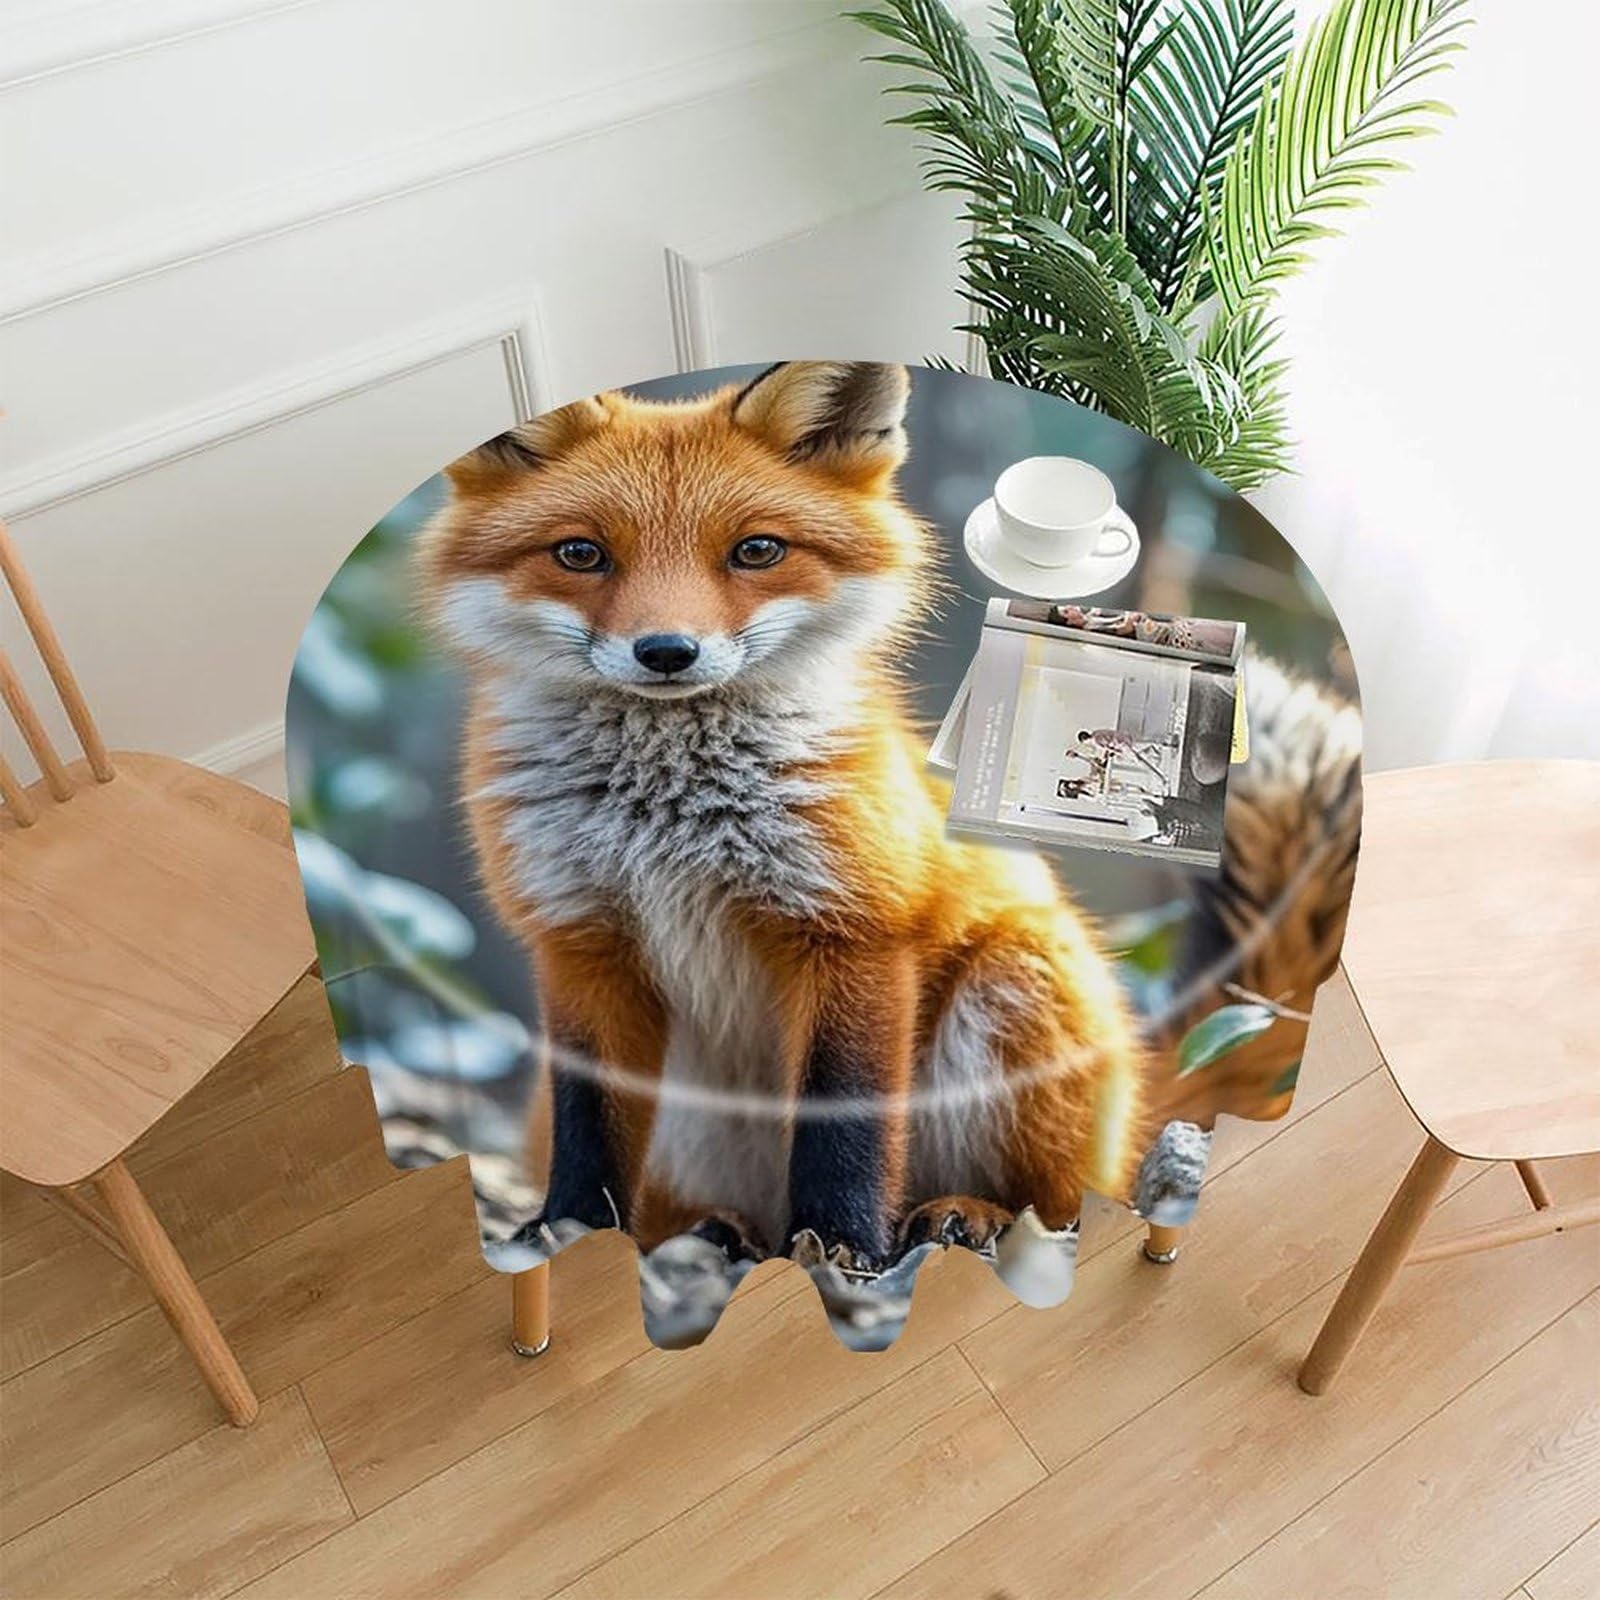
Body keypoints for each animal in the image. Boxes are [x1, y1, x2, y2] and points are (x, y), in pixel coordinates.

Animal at [422, 360, 1357, 1274]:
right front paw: (570, 1233)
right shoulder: (579, 942)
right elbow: (589, 1137)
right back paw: (711, 1234)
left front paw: (841, 1248)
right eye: (581, 554)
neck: (666, 816)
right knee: (697, 1218)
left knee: (1062, 1209)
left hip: (1012, 989)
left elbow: (846, 1125)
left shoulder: (851, 930)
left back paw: (967, 1216)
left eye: (756, 551)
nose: (666, 653)